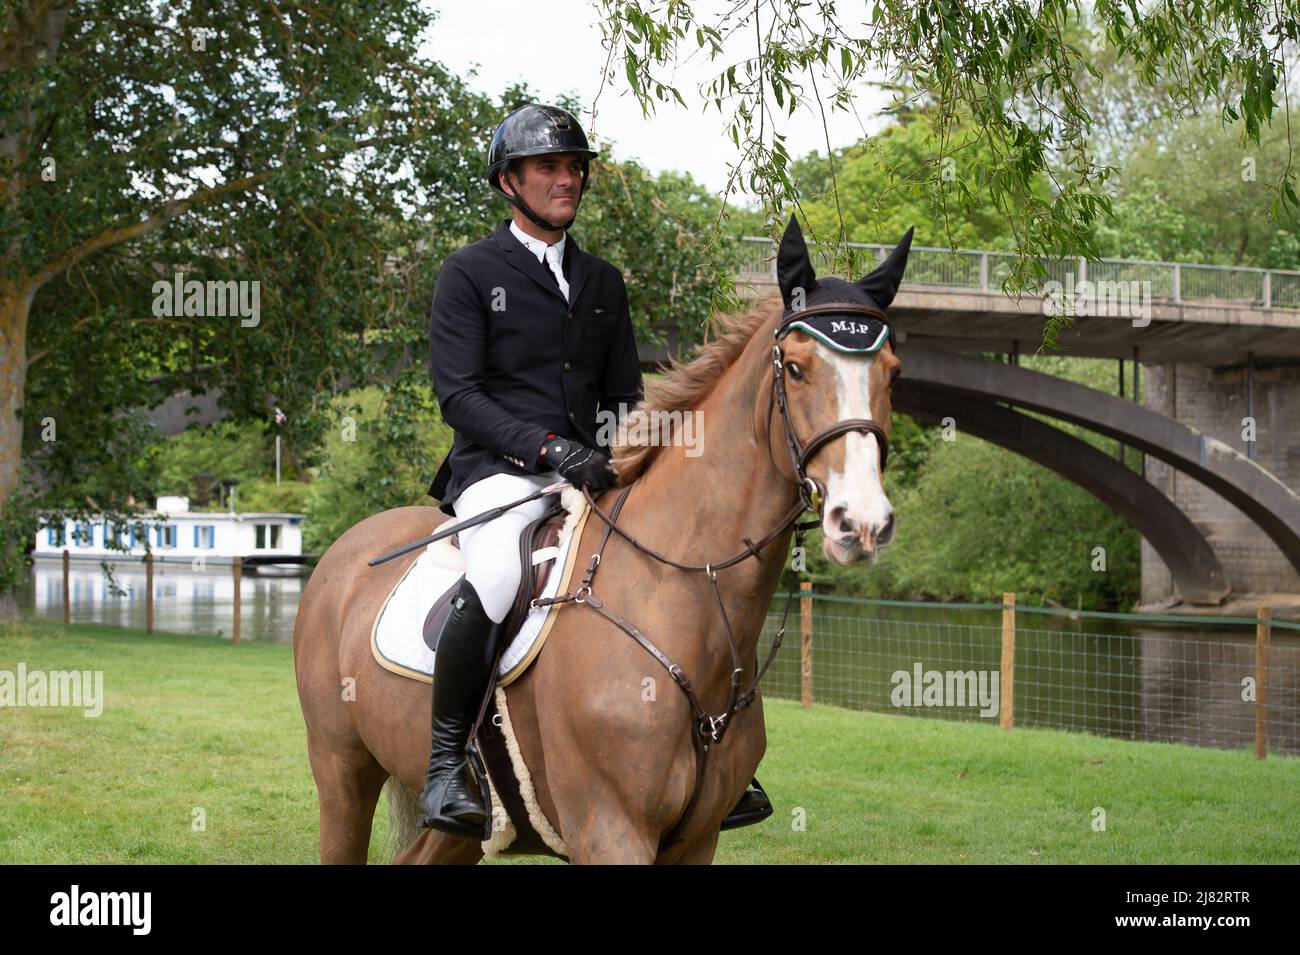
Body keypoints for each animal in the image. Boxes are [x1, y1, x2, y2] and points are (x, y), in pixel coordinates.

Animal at [293, 220, 909, 862]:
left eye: (892, 372)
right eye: (795, 367)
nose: (861, 522)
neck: (679, 598)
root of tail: (345, 550)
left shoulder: (698, 837)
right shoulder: (611, 828)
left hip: (472, 827)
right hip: (341, 771)